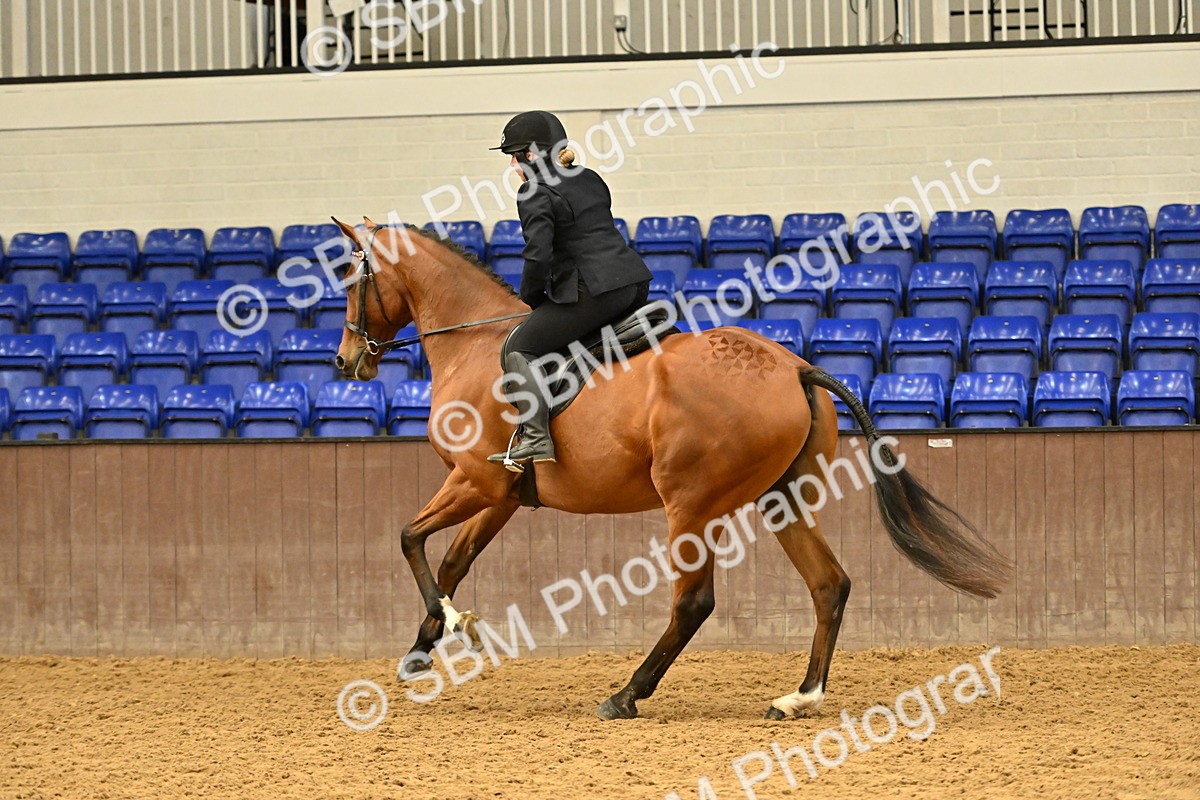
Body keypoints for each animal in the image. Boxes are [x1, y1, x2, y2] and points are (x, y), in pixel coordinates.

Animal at [330, 217, 1011, 720]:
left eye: (350, 281)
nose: (344, 361)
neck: (474, 344)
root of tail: (794, 366)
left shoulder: (475, 480)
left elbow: (410, 539)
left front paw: (450, 624)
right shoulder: (500, 495)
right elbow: (450, 560)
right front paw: (422, 649)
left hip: (690, 505)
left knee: (694, 603)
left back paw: (627, 694)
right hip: (782, 499)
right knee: (829, 584)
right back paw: (800, 696)